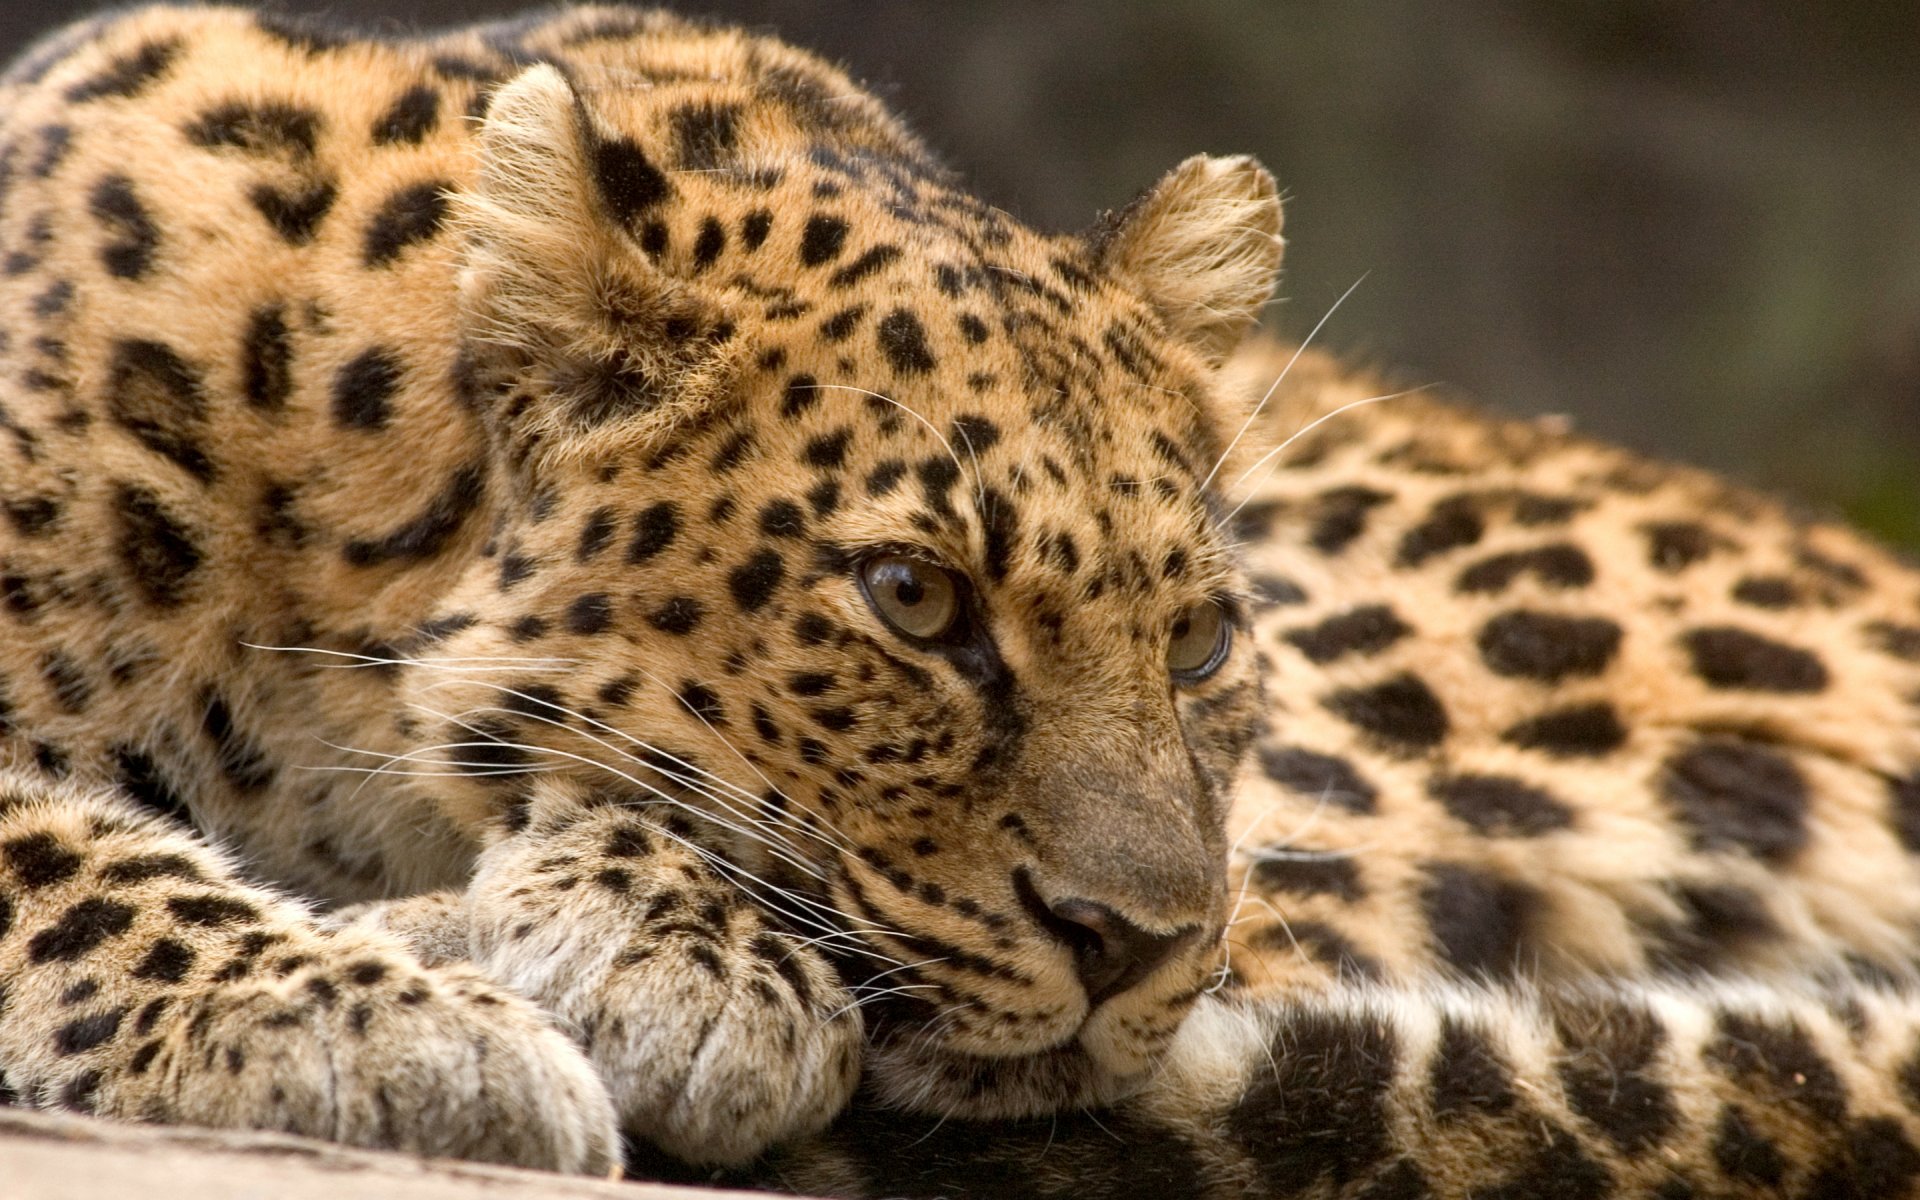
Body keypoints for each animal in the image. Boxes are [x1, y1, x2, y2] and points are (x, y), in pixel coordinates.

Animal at [4, 6, 1920, 1199]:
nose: (1132, 944)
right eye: (915, 601)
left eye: (1198, 638)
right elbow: (60, 851)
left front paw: (641, 960)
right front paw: (396, 1024)